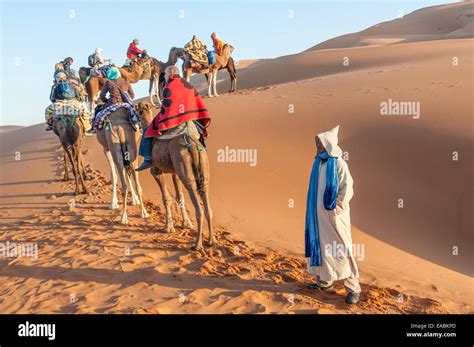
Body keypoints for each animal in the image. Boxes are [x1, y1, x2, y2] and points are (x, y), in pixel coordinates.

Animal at [135, 102, 213, 251]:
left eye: (137, 110)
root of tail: (192, 145)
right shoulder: (174, 172)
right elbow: (178, 196)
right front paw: (185, 223)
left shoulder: (156, 172)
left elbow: (166, 198)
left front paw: (168, 228)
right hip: (203, 169)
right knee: (208, 206)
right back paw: (211, 240)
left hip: (186, 171)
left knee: (198, 206)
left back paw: (197, 244)